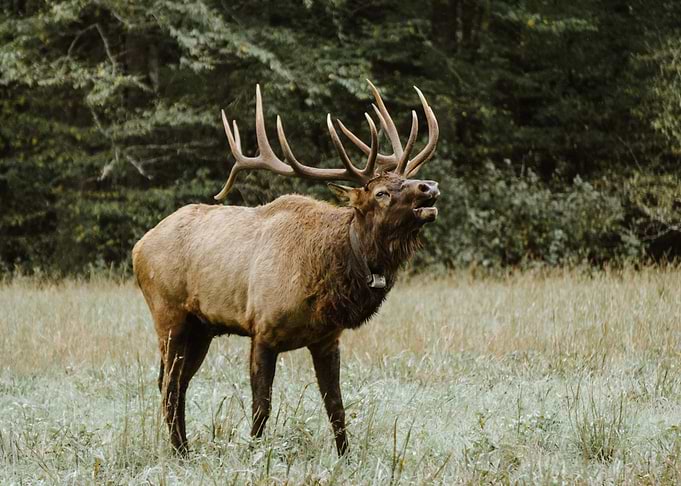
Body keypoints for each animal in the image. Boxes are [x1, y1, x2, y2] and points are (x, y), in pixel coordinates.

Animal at [132, 80, 440, 457]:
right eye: (381, 192)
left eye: (406, 179)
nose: (429, 187)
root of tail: (138, 247)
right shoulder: (262, 329)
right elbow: (261, 408)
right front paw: (255, 453)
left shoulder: (327, 339)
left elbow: (336, 408)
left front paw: (346, 457)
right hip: (168, 314)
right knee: (170, 385)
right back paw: (180, 451)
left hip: (201, 327)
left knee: (176, 382)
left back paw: (185, 449)